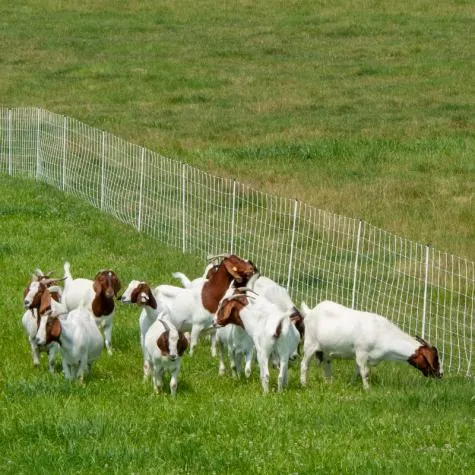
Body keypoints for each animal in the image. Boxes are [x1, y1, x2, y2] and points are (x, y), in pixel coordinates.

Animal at [302, 302, 442, 390]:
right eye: (435, 359)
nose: (441, 374)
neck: (383, 333)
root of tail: (311, 312)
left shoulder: (366, 358)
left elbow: (358, 371)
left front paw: (351, 385)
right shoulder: (361, 352)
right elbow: (365, 373)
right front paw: (367, 389)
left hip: (326, 351)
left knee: (327, 366)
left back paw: (328, 384)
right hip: (310, 344)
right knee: (304, 364)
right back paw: (304, 384)